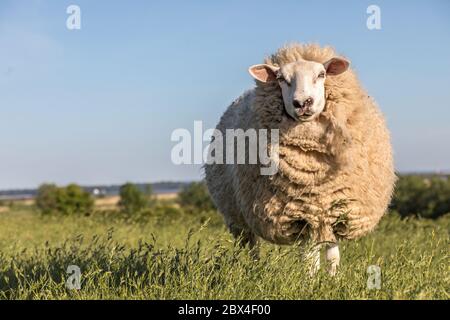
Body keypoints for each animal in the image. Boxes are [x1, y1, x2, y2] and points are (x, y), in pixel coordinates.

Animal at [206, 43, 396, 276]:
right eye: (281, 78)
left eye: (321, 74)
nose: (302, 102)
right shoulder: (301, 214)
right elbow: (309, 257)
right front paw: (311, 279)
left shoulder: (334, 209)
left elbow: (332, 253)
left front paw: (333, 278)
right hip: (238, 215)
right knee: (252, 246)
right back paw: (255, 270)